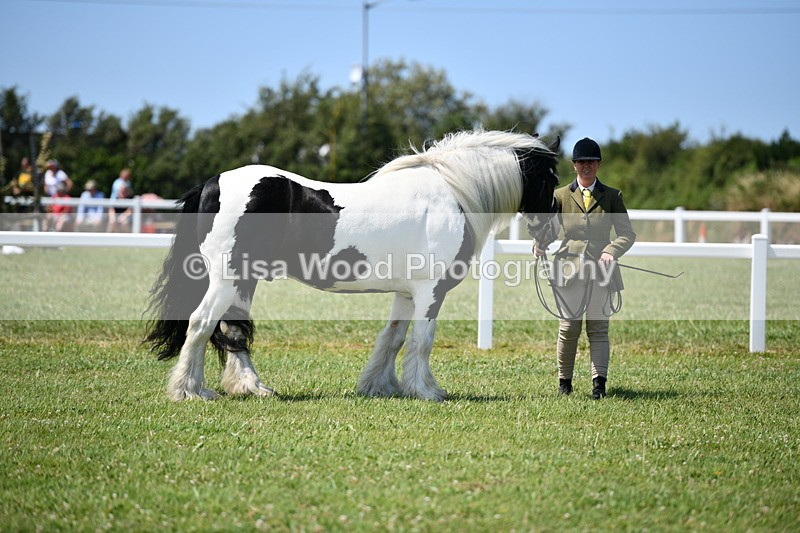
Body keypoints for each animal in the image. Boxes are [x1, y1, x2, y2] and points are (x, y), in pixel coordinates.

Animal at [144, 129, 560, 401]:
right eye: (551, 176)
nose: (553, 226)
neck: (452, 195)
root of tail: (213, 183)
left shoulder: (407, 293)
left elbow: (394, 338)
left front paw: (380, 386)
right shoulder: (431, 291)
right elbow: (422, 341)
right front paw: (427, 390)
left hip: (242, 282)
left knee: (234, 331)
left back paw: (252, 387)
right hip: (226, 279)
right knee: (201, 324)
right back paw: (190, 391)